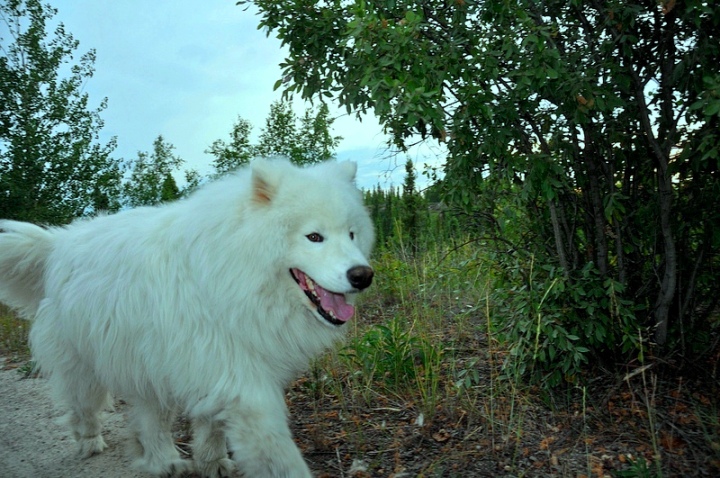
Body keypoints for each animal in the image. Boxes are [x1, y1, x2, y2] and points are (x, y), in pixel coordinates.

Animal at [1, 159, 376, 476]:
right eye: (314, 237)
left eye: (351, 234)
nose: (363, 276)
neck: (232, 268)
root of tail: (58, 244)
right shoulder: (237, 380)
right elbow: (274, 451)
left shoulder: (213, 371)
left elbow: (211, 429)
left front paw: (213, 463)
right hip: (86, 367)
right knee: (84, 409)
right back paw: (92, 443)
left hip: (148, 366)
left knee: (150, 423)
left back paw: (165, 462)